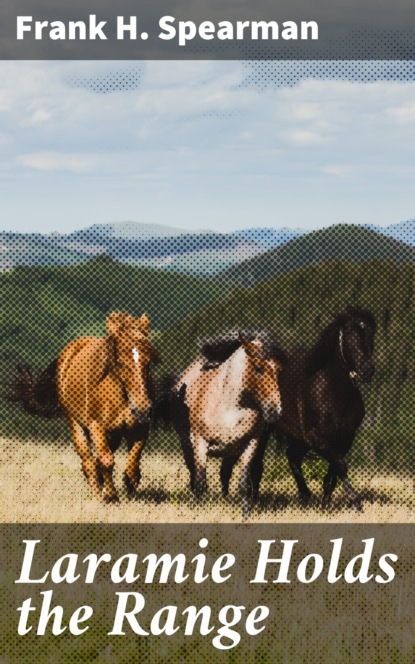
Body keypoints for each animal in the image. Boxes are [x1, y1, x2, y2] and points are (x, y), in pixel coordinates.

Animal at [8, 314, 161, 500]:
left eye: (148, 361)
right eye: (120, 363)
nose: (143, 409)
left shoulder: (140, 428)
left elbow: (133, 462)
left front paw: (130, 484)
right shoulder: (96, 426)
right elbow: (106, 460)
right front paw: (111, 496)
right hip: (76, 424)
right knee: (88, 461)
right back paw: (97, 491)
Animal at [158, 330, 286, 516]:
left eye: (278, 369)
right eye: (258, 368)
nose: (275, 411)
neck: (230, 408)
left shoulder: (250, 444)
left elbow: (244, 483)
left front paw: (245, 515)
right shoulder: (200, 444)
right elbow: (200, 482)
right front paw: (197, 510)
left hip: (234, 451)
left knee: (229, 473)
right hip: (187, 445)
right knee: (195, 474)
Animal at [221, 308, 376, 510]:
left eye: (371, 334)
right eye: (350, 334)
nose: (367, 370)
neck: (334, 392)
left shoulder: (344, 438)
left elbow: (334, 470)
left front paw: (326, 502)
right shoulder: (316, 437)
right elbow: (340, 465)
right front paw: (355, 501)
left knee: (291, 456)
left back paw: (304, 495)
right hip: (265, 432)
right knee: (257, 467)